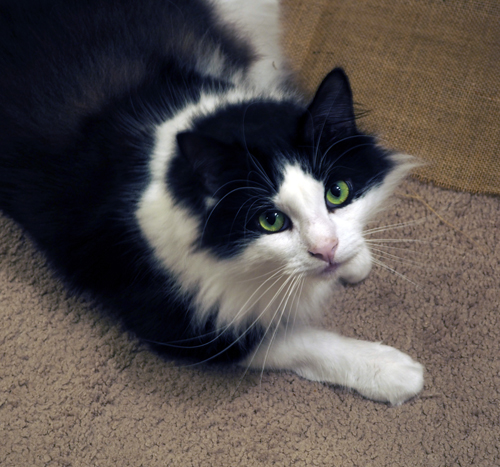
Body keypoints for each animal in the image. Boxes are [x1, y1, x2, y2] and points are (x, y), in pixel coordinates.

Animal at [0, 0, 424, 406]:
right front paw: (390, 370)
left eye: (337, 192)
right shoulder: (176, 322)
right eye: (271, 220)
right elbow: (295, 341)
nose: (327, 250)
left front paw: (355, 260)